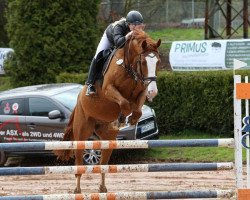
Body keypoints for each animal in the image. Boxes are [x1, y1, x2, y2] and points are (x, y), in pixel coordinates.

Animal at [54, 28, 161, 193]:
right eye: (143, 62)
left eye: (157, 62)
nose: (153, 92)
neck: (129, 67)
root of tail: (78, 100)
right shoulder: (108, 89)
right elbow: (124, 103)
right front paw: (123, 117)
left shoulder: (141, 90)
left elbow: (137, 108)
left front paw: (130, 118)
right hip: (82, 133)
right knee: (79, 162)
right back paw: (77, 189)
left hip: (108, 139)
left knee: (103, 164)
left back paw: (102, 188)